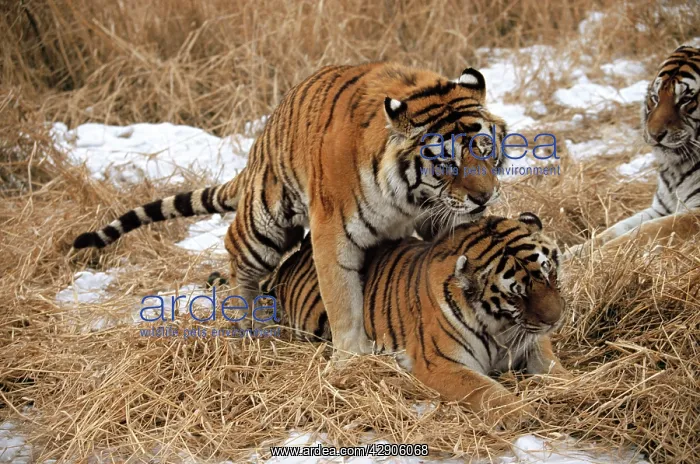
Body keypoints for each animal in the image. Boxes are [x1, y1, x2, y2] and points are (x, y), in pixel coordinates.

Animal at [72, 62, 508, 357]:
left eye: (486, 149)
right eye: (447, 163)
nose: (484, 197)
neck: (410, 197)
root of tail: (259, 145)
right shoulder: (333, 233)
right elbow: (342, 300)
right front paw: (352, 360)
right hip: (263, 225)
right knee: (236, 256)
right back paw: (247, 322)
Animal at [260, 212, 569, 424]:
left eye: (550, 274)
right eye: (516, 296)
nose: (556, 320)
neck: (502, 327)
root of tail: (297, 254)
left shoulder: (531, 341)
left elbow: (551, 364)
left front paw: (567, 383)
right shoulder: (440, 363)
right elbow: (485, 390)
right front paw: (523, 413)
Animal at [565, 46, 700, 259]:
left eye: (685, 99)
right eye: (655, 98)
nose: (654, 134)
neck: (676, 168)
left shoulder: (694, 214)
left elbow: (648, 230)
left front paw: (601, 256)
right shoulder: (660, 208)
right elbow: (616, 229)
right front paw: (574, 253)